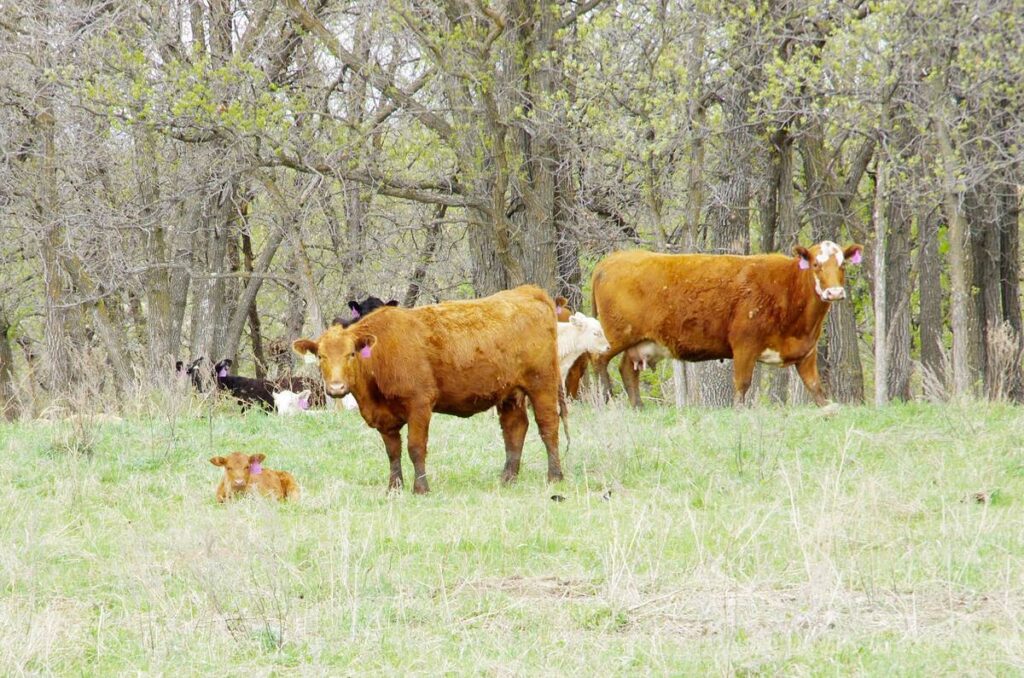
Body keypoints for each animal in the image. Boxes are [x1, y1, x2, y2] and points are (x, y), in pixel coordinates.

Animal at [292, 285, 567, 494]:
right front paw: (394, 488)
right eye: (321, 357)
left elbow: (415, 448)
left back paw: (555, 476)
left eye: (351, 354)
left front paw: (420, 489)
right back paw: (507, 478)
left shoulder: (419, 405)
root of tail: (528, 291)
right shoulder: (385, 418)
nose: (336, 387)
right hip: (509, 392)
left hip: (542, 383)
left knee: (548, 425)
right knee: (515, 428)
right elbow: (393, 452)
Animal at [592, 241, 863, 408]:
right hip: (614, 336)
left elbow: (816, 388)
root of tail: (613, 258)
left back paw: (638, 406)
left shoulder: (807, 352)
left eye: (842, 264)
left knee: (627, 370)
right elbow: (742, 385)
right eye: (816, 264)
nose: (835, 292)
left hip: (640, 343)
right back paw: (604, 397)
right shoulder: (745, 345)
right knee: (598, 360)